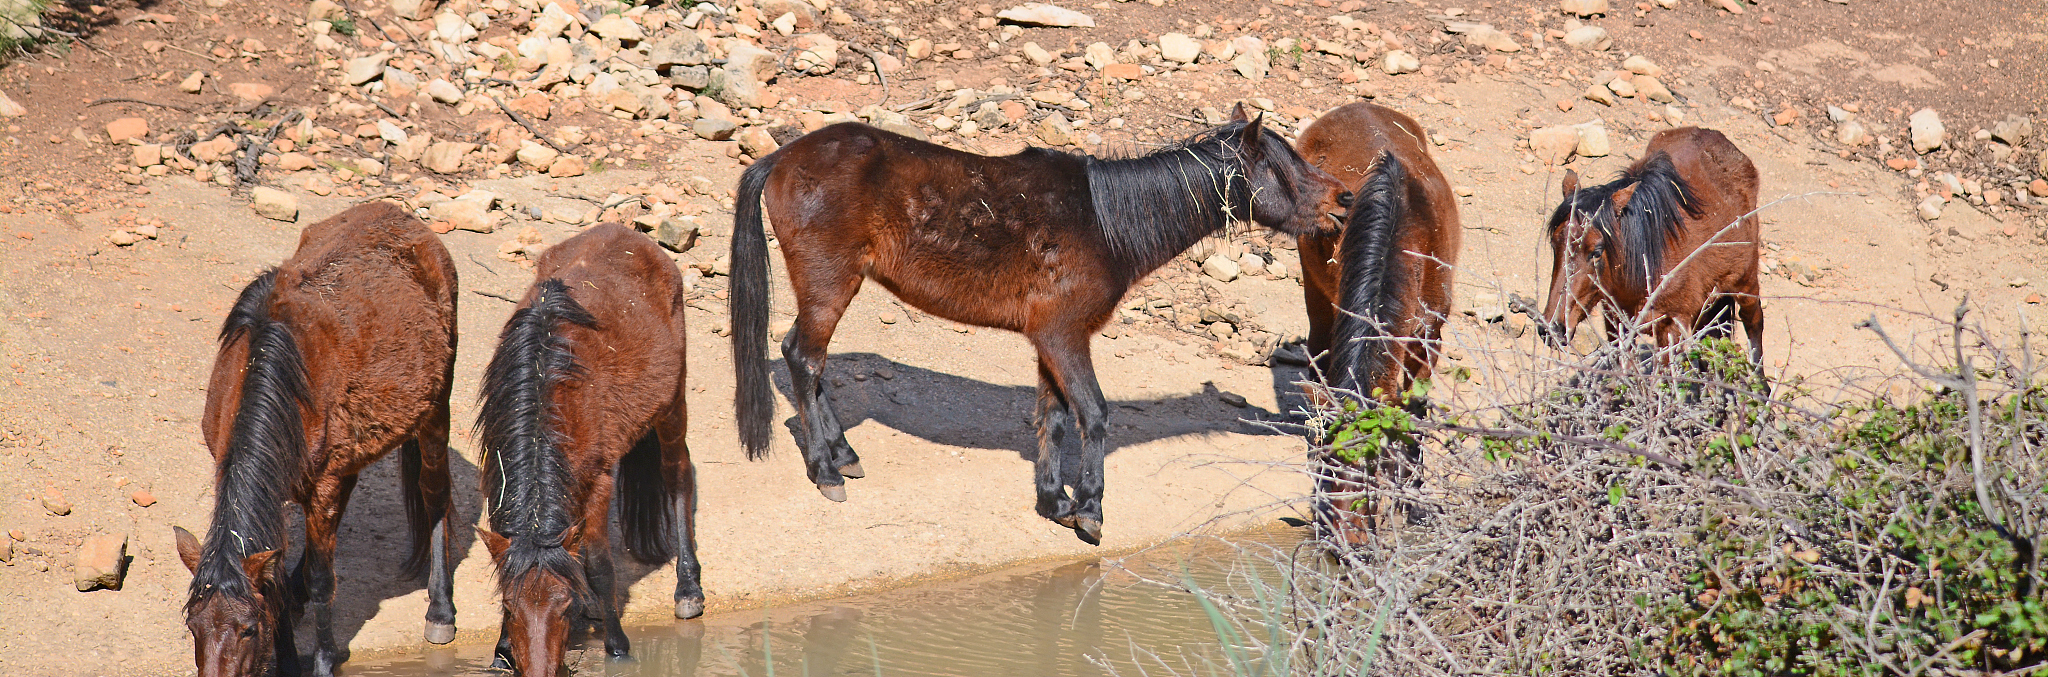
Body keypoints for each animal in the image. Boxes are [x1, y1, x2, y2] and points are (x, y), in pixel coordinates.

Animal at [171, 201, 460, 677]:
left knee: (435, 497)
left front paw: (322, 660)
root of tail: (405, 218)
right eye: (195, 627)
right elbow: (275, 573)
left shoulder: (322, 484)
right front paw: (288, 655)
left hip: (435, 412)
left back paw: (440, 610)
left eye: (248, 629)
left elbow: (325, 582)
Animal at [474, 222, 701, 676]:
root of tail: (629, 233)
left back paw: (688, 588)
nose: (540, 671)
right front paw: (502, 650)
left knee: (678, 475)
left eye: (563, 607)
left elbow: (598, 565)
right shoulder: (497, 478)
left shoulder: (598, 482)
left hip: (672, 402)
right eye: (510, 606)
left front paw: (617, 645)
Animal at [730, 103, 1349, 544]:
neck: (1105, 221)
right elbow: (1092, 413)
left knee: (810, 364)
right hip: (830, 284)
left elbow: (1052, 415)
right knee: (803, 358)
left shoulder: (1051, 340)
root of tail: (781, 159)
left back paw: (844, 455)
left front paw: (1055, 502)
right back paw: (825, 471)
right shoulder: (1065, 336)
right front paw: (1090, 509)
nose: (1344, 200)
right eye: (1284, 166)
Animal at [1292, 102, 1462, 544]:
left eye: (1375, 466)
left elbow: (1415, 411)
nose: (1347, 543)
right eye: (1327, 465)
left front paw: (1416, 503)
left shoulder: (1430, 335)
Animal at [1540, 126, 1762, 362]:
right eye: (1555, 244)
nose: (1552, 329)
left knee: (1754, 322)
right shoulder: (1615, 323)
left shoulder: (1669, 329)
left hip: (1745, 282)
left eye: (1597, 251)